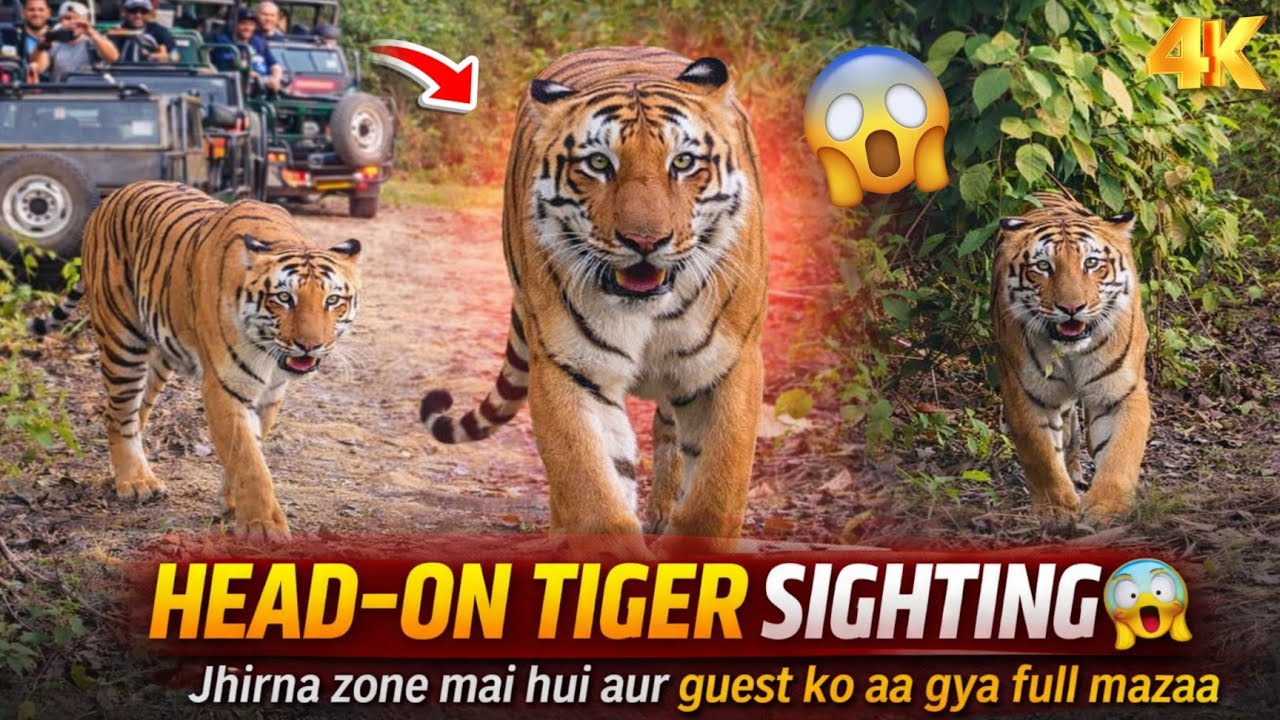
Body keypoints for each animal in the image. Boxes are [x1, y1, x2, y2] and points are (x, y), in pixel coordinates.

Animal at [31, 181, 361, 540]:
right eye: (284, 298)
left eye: (333, 300)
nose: (309, 346)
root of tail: (111, 198)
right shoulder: (225, 387)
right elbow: (249, 459)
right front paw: (263, 526)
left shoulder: (271, 394)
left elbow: (252, 445)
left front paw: (233, 502)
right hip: (122, 340)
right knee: (119, 414)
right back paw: (135, 482)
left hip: (159, 358)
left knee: (130, 414)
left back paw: (123, 472)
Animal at [420, 47, 766, 548]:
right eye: (600, 165)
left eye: (682, 162)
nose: (645, 241)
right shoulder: (572, 367)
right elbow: (591, 487)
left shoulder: (728, 364)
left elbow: (715, 493)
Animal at [992, 190, 1151, 519]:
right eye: (1043, 266)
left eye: (1091, 263)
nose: (1071, 307)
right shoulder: (1025, 393)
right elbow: (1041, 456)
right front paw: (1058, 509)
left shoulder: (1122, 392)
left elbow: (1120, 454)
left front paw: (1107, 507)